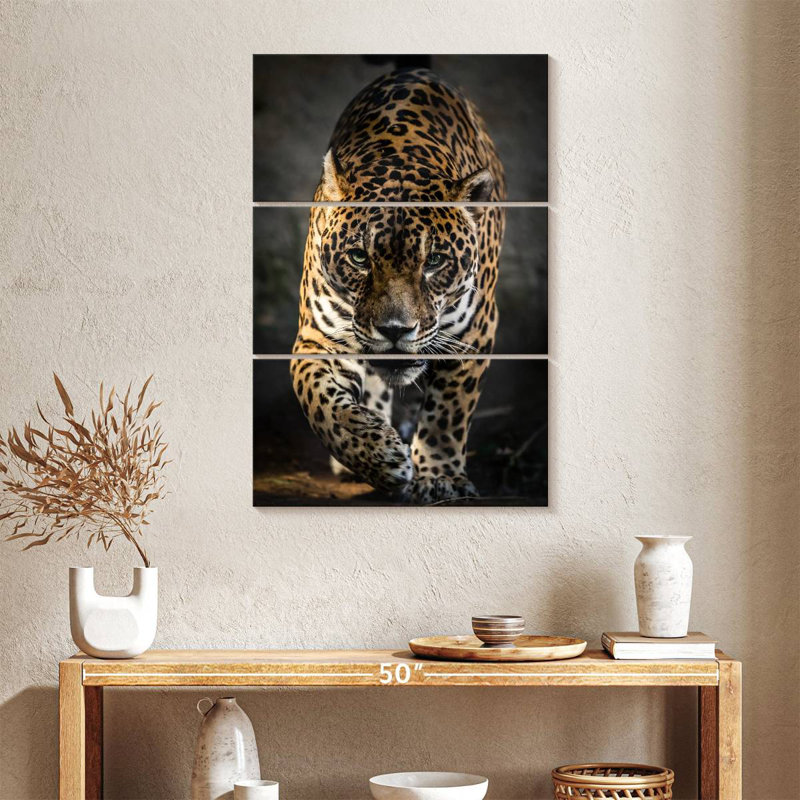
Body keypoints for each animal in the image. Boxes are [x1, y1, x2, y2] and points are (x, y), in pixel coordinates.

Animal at [290, 68, 506, 503]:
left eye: (434, 261)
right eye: (359, 258)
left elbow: (449, 411)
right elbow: (321, 402)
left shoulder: (474, 331)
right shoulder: (317, 338)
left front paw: (440, 477)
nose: (394, 330)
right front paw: (377, 456)